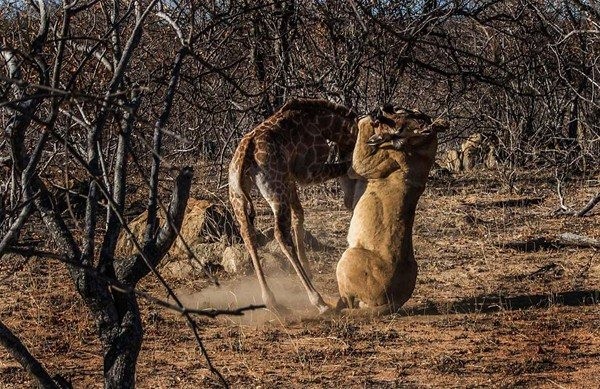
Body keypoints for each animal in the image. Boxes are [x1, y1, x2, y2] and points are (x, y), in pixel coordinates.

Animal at [226, 97, 356, 312]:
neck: (322, 122)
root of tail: (245, 155)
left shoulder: (289, 177)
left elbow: (299, 214)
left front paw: (308, 267)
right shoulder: (307, 172)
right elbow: (345, 166)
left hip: (237, 196)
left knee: (248, 235)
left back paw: (270, 299)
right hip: (275, 191)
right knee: (280, 235)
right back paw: (318, 301)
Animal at [338, 104, 446, 314]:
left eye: (403, 114)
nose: (384, 106)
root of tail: (395, 302)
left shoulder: (363, 164)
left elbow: (359, 150)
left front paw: (366, 119)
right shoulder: (352, 191)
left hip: (349, 256)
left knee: (349, 302)